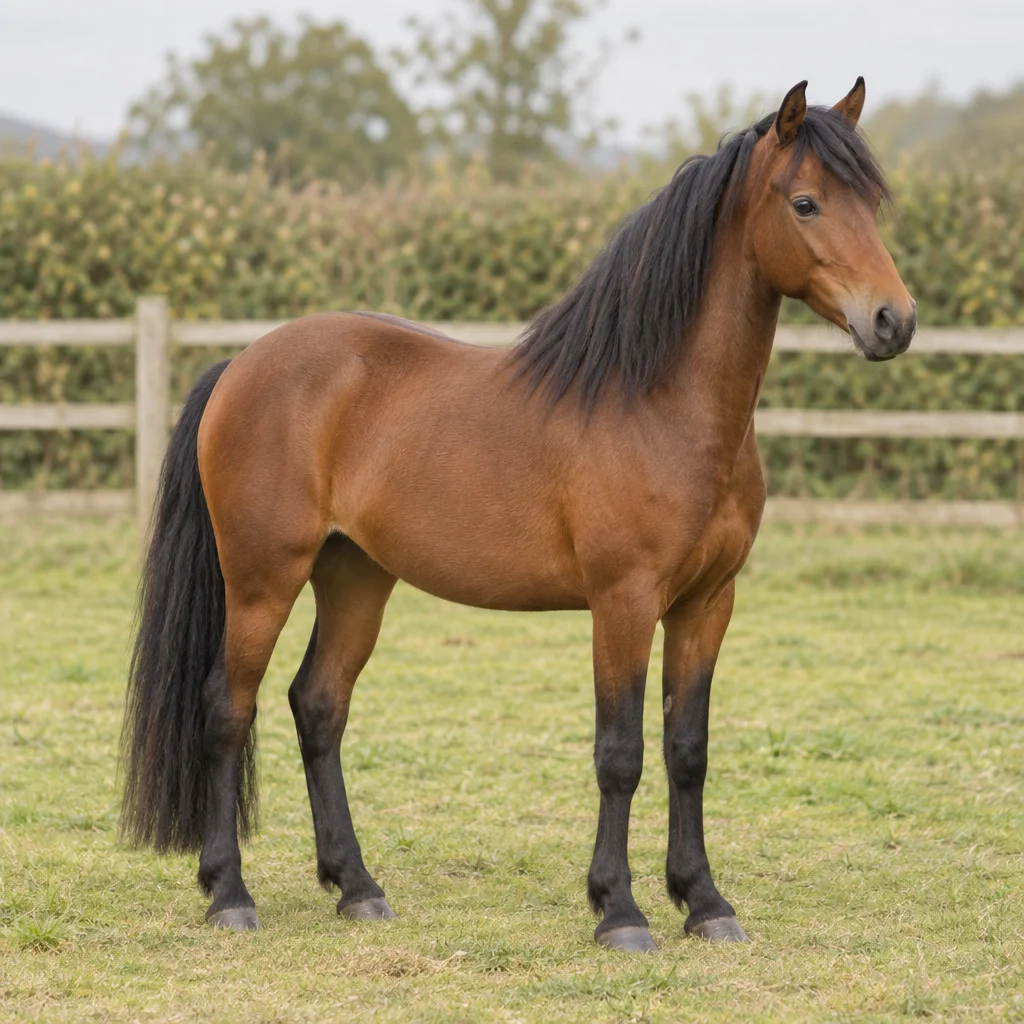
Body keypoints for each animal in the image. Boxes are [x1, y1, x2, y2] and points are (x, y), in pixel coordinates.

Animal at [121, 78, 917, 953]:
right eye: (806, 202)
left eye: (873, 202)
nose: (893, 320)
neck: (661, 405)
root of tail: (241, 365)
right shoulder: (624, 603)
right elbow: (621, 752)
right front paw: (620, 911)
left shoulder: (708, 604)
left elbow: (688, 749)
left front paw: (705, 902)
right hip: (263, 580)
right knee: (228, 710)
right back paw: (229, 893)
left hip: (355, 577)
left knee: (319, 707)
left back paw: (357, 886)